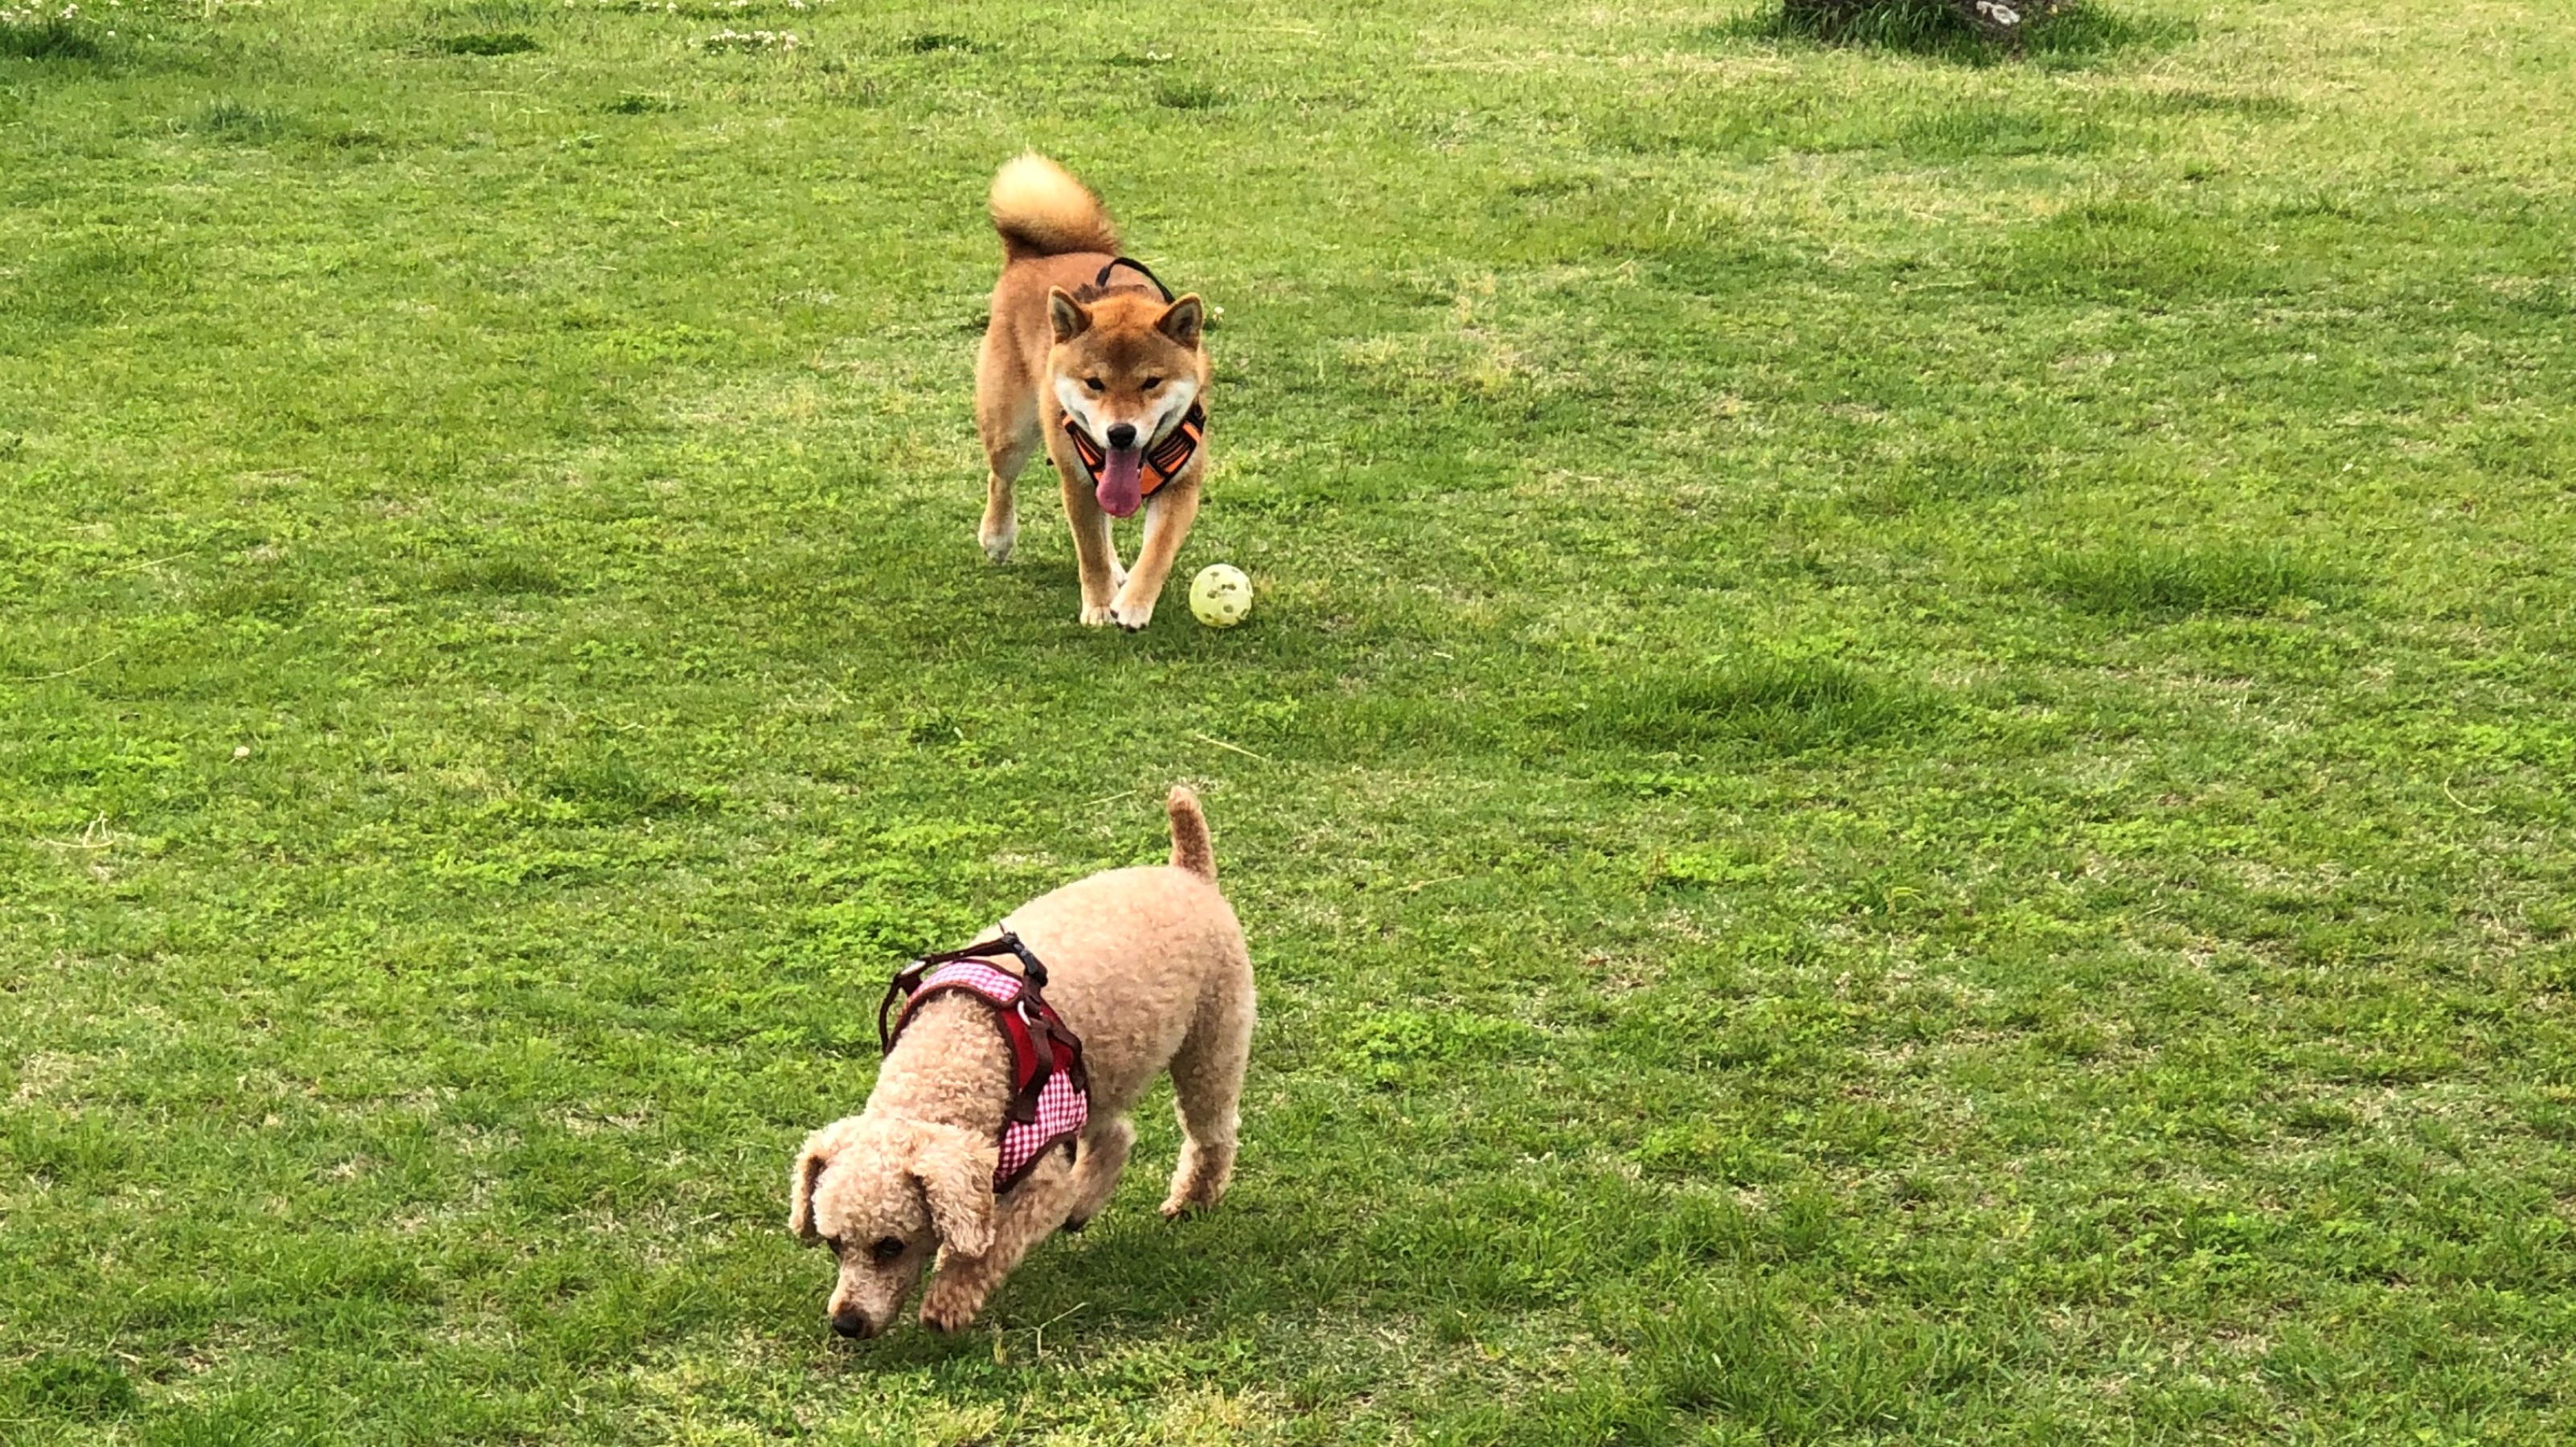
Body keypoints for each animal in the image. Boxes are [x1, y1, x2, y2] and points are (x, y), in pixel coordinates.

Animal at [793, 782, 1257, 1338]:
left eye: (890, 1246)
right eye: (834, 1244)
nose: (847, 1322)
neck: (957, 1054)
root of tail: (1188, 871)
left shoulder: (1040, 1179)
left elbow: (989, 1246)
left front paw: (948, 1301)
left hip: (1210, 1043)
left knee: (1210, 1132)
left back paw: (1192, 1200)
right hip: (1094, 1075)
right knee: (1117, 1135)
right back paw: (1087, 1204)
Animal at [969, 151, 1210, 625]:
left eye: (1151, 382)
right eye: (1094, 383)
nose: (1121, 433)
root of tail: (1030, 257)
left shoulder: (1182, 487)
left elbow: (1156, 552)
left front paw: (1133, 603)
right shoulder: (1076, 481)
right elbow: (1090, 549)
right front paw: (1099, 606)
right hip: (1011, 430)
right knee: (999, 479)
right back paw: (997, 537)